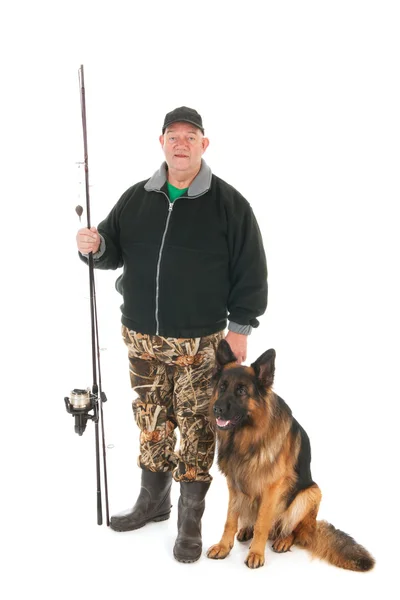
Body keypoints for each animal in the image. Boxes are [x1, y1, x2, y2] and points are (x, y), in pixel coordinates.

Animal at [206, 342, 376, 572]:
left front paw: (256, 553)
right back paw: (246, 530)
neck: (247, 438)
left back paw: (283, 540)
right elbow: (230, 520)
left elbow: (262, 523)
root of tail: (312, 526)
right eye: (222, 387)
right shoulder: (234, 483)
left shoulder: (273, 487)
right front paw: (224, 546)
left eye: (241, 390)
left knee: (293, 530)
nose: (217, 409)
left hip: (311, 493)